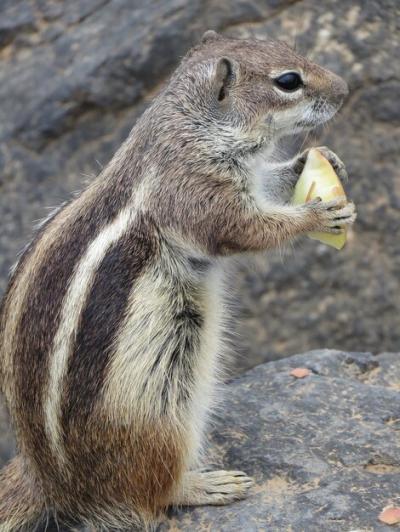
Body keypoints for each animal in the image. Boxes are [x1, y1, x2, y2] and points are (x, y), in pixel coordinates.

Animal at [0, 30, 356, 532]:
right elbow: (245, 229)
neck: (192, 125)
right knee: (150, 494)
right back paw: (205, 485)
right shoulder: (193, 190)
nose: (344, 89)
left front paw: (315, 159)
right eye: (288, 81)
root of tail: (50, 485)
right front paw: (315, 215)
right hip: (157, 414)